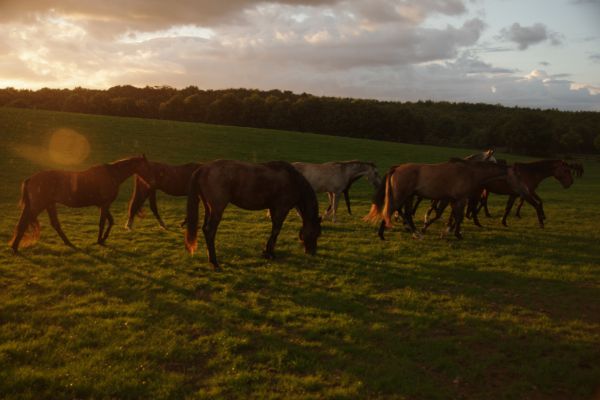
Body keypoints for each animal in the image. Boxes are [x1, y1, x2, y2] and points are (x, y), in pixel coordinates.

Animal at [10, 155, 154, 252]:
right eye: (147, 166)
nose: (152, 182)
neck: (112, 174)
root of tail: (31, 179)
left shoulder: (102, 205)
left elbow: (110, 221)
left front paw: (103, 238)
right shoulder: (105, 204)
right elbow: (103, 223)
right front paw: (100, 240)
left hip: (49, 205)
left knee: (54, 224)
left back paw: (69, 243)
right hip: (38, 205)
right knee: (24, 223)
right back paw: (15, 247)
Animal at [185, 159, 322, 268]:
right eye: (317, 233)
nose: (312, 252)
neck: (293, 180)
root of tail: (203, 169)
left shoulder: (274, 209)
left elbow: (274, 230)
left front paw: (267, 252)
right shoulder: (281, 209)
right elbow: (276, 230)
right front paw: (270, 254)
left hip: (208, 207)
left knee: (205, 229)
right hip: (217, 209)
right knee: (210, 231)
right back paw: (214, 262)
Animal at [364, 159, 516, 241]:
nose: (516, 192)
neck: (469, 172)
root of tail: (397, 168)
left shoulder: (453, 200)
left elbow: (453, 217)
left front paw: (450, 232)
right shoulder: (460, 199)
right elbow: (458, 217)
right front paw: (456, 234)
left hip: (408, 196)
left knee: (403, 213)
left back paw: (412, 233)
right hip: (402, 195)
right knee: (392, 210)